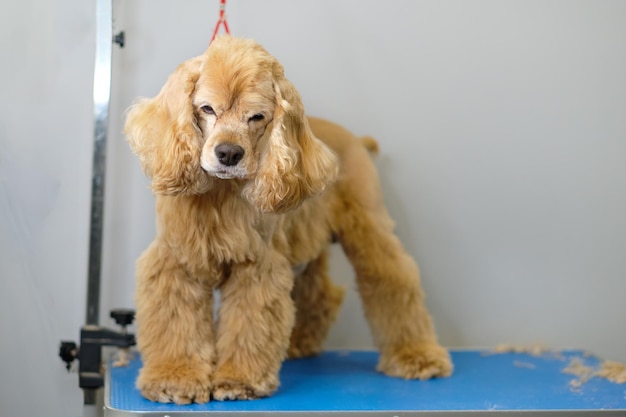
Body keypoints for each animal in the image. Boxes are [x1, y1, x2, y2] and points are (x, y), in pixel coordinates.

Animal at [125, 35, 448, 404]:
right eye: (207, 109)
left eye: (257, 117)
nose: (229, 153)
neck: (221, 193)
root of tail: (357, 140)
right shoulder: (177, 260)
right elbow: (176, 323)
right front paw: (174, 378)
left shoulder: (257, 266)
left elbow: (250, 326)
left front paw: (239, 380)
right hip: (307, 246)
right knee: (322, 293)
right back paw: (301, 343)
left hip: (368, 227)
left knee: (394, 279)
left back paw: (417, 355)